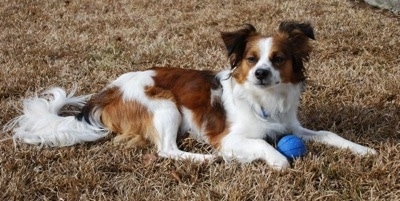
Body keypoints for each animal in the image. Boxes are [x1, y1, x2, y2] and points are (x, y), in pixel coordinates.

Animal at [6, 21, 376, 170]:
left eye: (278, 59)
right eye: (251, 59)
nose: (260, 73)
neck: (265, 99)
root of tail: (107, 92)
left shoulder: (293, 127)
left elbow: (327, 133)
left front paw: (363, 149)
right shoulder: (229, 138)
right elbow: (263, 146)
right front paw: (277, 161)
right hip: (166, 106)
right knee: (166, 150)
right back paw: (203, 159)